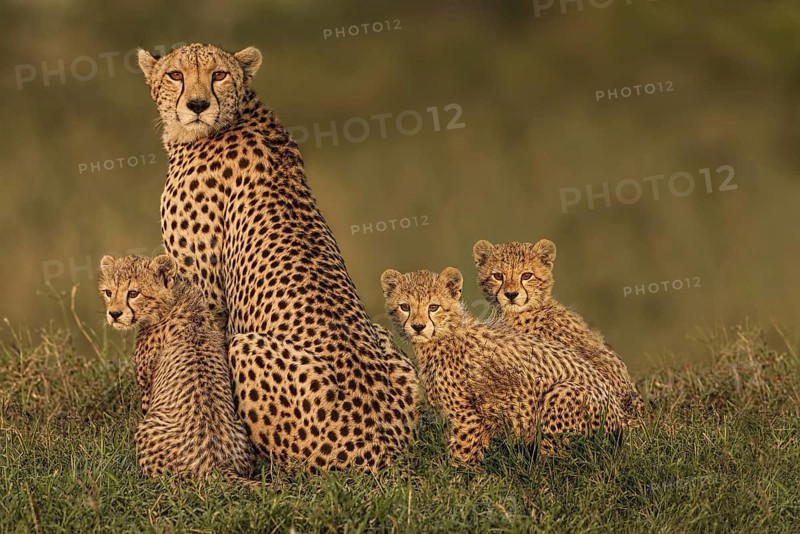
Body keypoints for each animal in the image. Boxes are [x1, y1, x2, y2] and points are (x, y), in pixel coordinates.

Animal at [98, 254, 256, 483]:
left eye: (133, 293)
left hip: (147, 432)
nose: (114, 314)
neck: (172, 300)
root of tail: (219, 464)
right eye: (108, 292)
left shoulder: (147, 389)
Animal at [137, 43, 418, 470]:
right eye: (175, 75)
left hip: (245, 348)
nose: (198, 104)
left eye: (219, 74)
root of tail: (384, 449)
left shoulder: (201, 295)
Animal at [381, 267, 630, 464]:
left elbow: (462, 455)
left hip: (560, 396)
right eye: (405, 307)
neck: (444, 335)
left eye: (433, 307)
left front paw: (457, 483)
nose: (418, 327)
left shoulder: (468, 417)